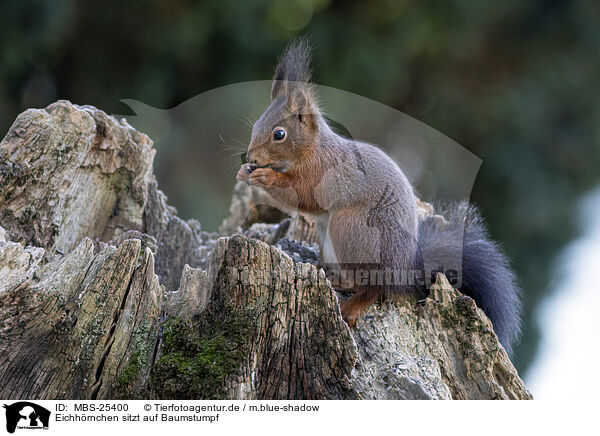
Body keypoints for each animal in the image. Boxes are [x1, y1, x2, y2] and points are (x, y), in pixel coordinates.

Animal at [237, 38, 524, 358]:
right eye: (255, 127)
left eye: (279, 134)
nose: (251, 158)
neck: (313, 148)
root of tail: (406, 270)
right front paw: (244, 172)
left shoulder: (323, 175)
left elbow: (302, 196)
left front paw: (264, 178)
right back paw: (335, 278)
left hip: (351, 227)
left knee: (373, 289)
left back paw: (351, 307)